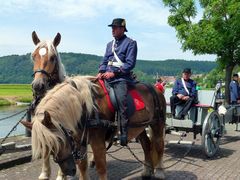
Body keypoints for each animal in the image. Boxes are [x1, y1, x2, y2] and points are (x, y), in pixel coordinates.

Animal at [21, 75, 166, 179]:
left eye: (59, 141)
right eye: (47, 149)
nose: (68, 171)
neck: (84, 105)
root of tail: (156, 89)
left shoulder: (97, 141)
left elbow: (101, 167)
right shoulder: (79, 141)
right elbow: (83, 167)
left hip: (157, 123)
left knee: (158, 144)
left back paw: (159, 171)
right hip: (139, 127)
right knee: (147, 145)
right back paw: (147, 171)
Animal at [22, 31, 66, 180]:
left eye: (52, 57)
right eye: (33, 56)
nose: (38, 85)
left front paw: (61, 175)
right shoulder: (41, 123)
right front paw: (45, 173)